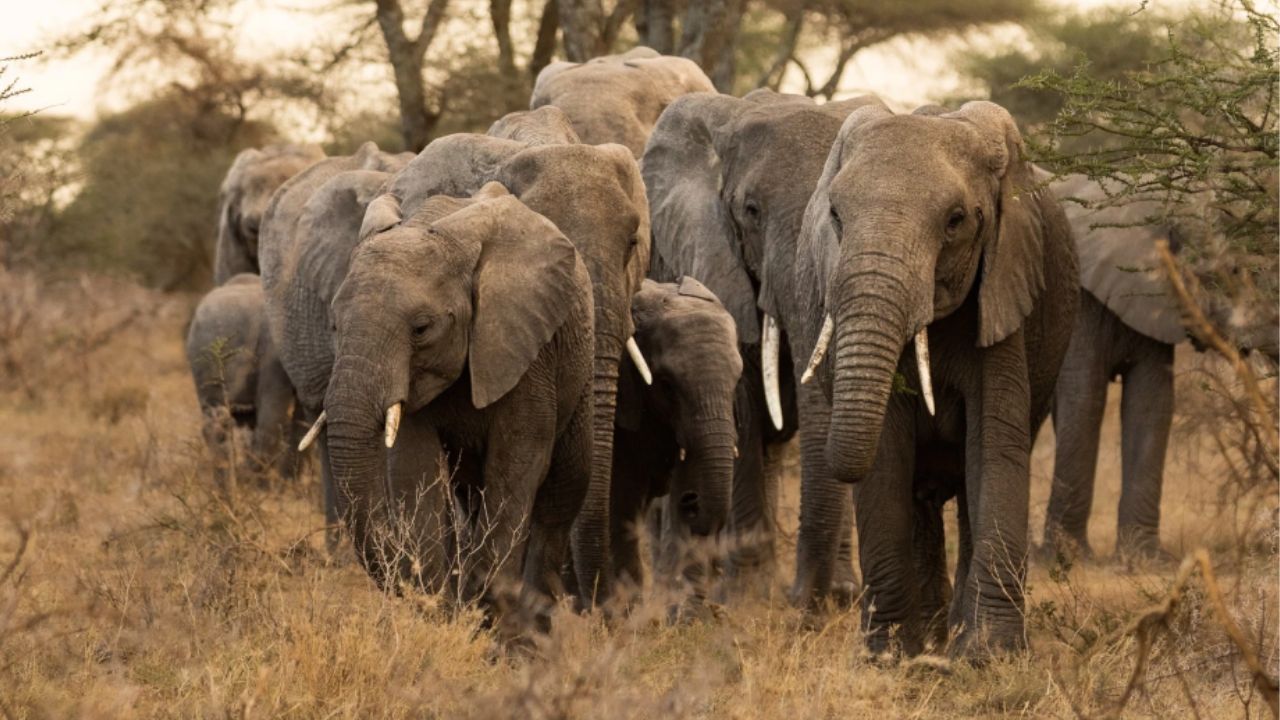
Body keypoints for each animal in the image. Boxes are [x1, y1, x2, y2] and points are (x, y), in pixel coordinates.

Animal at [324, 183, 595, 626]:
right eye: (334, 325)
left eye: (421, 328)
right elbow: (415, 466)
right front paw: (446, 613)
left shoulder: (527, 351)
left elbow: (518, 461)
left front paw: (489, 620)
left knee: (564, 488)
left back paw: (541, 615)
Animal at [642, 89, 881, 601]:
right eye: (751, 210)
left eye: (840, 217)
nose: (804, 601)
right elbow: (742, 410)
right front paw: (748, 598)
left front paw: (843, 593)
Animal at [790, 101, 1079, 657]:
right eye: (835, 216)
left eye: (955, 221)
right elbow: (886, 452)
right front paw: (888, 655)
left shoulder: (1003, 291)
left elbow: (993, 447)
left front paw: (990, 656)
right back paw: (929, 637)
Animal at [1042, 173, 1280, 561]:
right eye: (1231, 271)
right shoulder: (1077, 300)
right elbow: (1084, 399)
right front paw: (1066, 559)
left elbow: (1150, 402)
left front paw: (1145, 560)